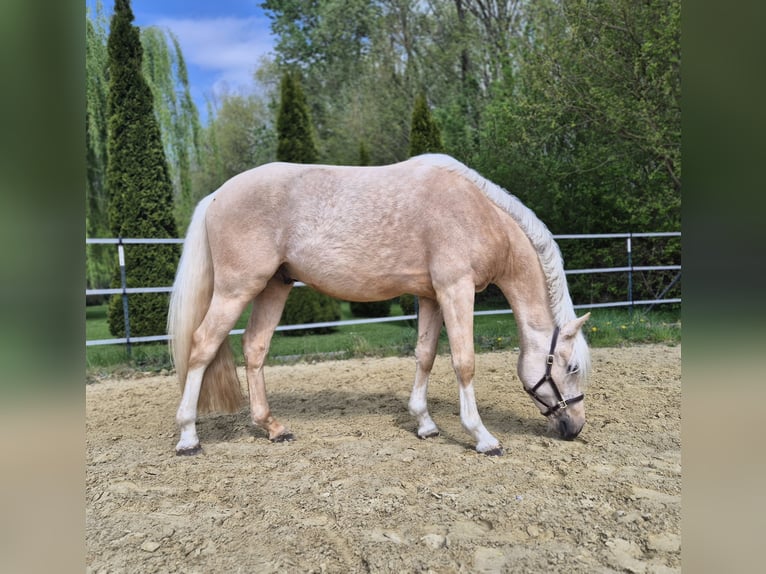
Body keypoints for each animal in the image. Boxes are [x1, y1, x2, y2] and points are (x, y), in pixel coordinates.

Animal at [168, 154, 591, 456]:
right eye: (570, 367)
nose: (575, 427)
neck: (479, 213)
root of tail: (216, 196)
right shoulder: (456, 289)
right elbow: (464, 362)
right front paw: (483, 438)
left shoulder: (431, 296)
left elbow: (425, 355)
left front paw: (425, 424)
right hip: (236, 289)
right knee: (202, 346)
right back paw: (188, 437)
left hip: (274, 287)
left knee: (254, 347)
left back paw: (273, 428)